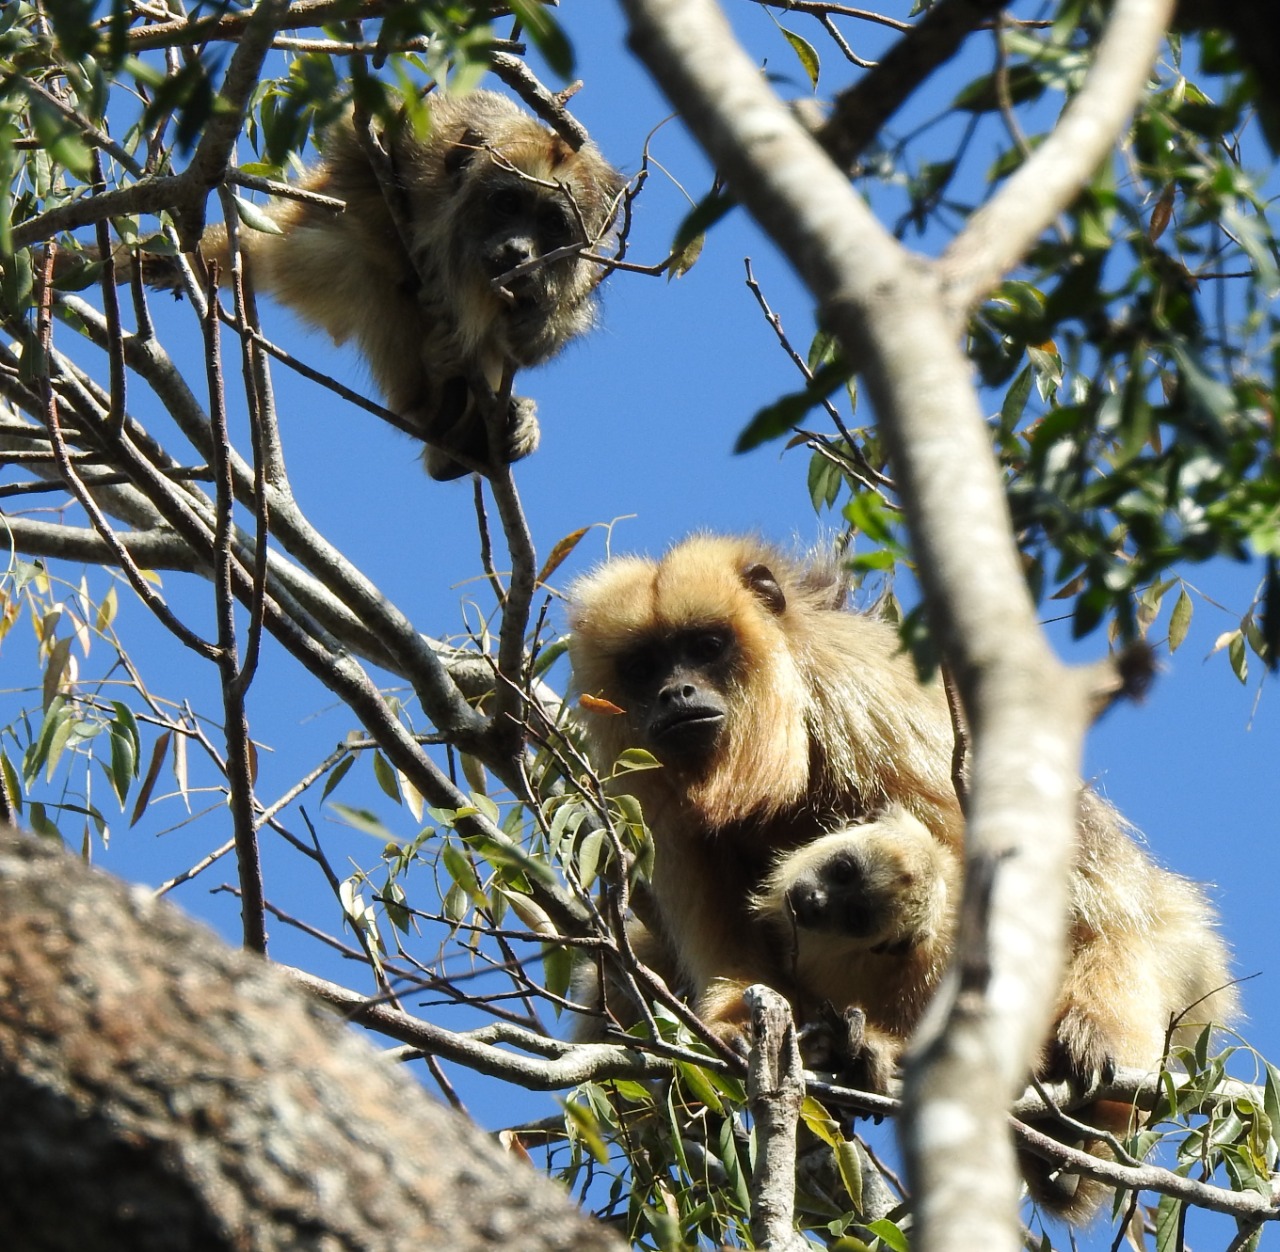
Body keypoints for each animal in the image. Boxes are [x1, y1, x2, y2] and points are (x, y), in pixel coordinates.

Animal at [144, 88, 624, 478]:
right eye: (506, 203)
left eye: (553, 224)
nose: (519, 250)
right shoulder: (422, 144)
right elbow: (357, 139)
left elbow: (558, 317)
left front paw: (538, 327)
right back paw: (435, 398)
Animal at [565, 532, 1233, 1213]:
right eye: (645, 667)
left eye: (705, 646)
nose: (675, 693)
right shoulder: (649, 798)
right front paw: (742, 1028)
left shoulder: (865, 703)